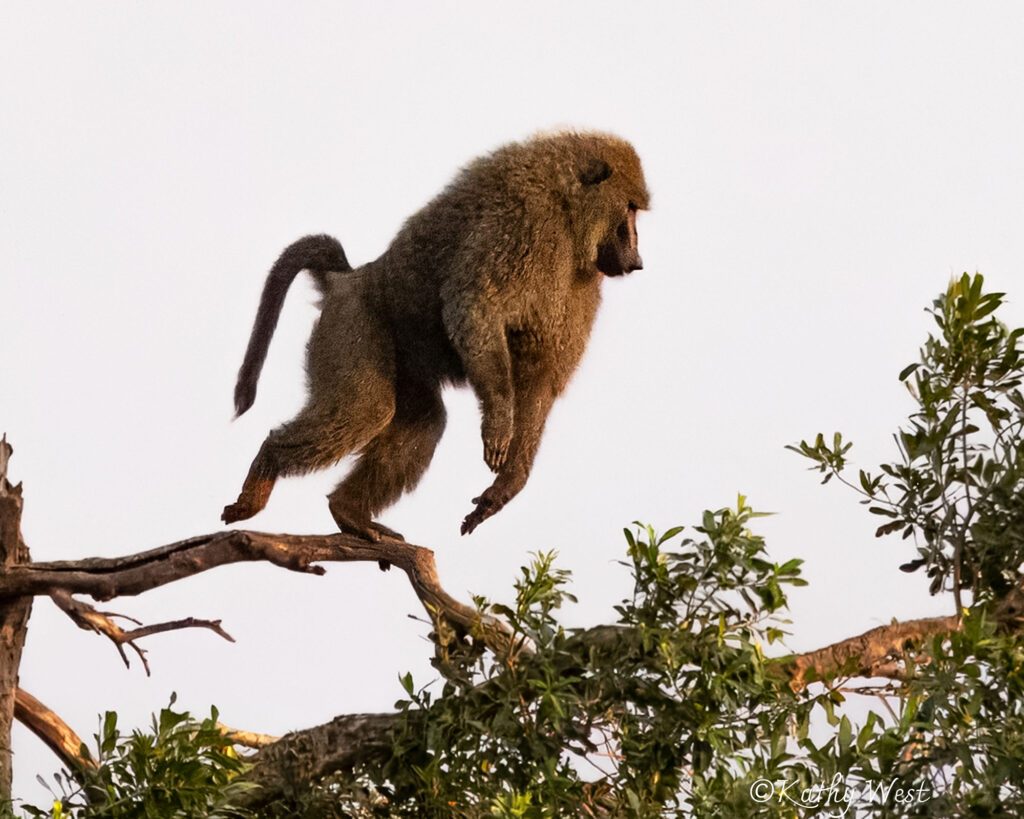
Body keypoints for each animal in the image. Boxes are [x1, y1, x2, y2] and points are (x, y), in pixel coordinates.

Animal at [222, 131, 649, 540]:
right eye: (629, 209)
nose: (637, 261)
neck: (566, 213)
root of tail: (349, 279)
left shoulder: (580, 283)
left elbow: (540, 375)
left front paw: (506, 484)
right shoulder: (524, 225)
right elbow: (475, 307)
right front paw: (498, 424)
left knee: (424, 420)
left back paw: (349, 513)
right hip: (353, 322)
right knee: (368, 410)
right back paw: (268, 464)